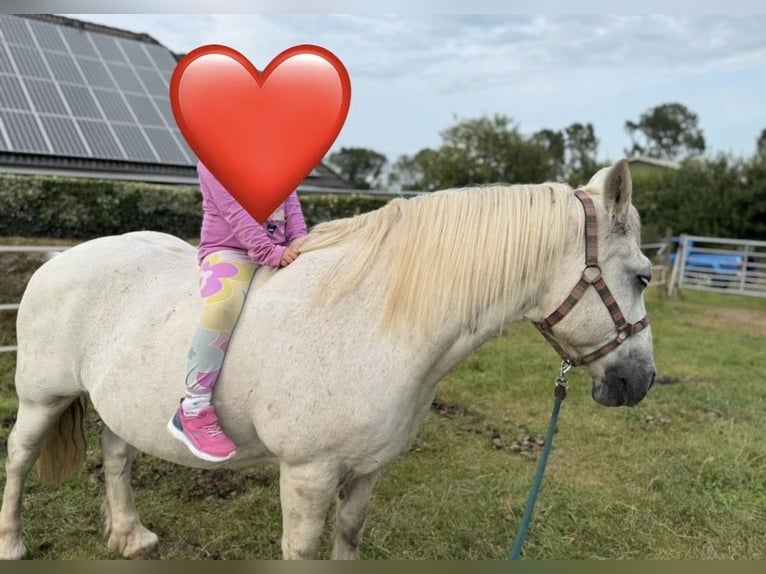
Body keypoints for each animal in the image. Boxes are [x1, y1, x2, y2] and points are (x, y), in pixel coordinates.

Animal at [0, 159, 655, 560]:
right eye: (642, 276)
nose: (640, 381)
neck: (372, 321)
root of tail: (58, 261)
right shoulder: (308, 473)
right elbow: (303, 549)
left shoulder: (366, 470)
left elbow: (350, 534)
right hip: (41, 398)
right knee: (19, 459)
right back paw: (14, 544)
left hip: (119, 402)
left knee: (116, 456)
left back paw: (130, 537)